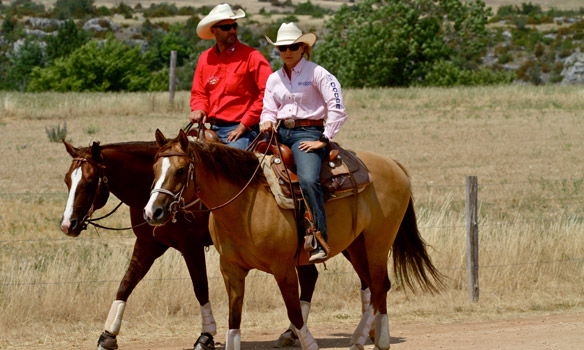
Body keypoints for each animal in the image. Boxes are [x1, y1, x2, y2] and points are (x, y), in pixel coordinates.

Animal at [60, 139, 370, 350]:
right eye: (66, 180)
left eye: (89, 182)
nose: (67, 225)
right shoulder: (147, 245)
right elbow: (125, 284)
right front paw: (107, 335)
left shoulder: (191, 247)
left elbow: (200, 288)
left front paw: (206, 334)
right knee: (309, 277)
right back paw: (292, 332)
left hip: (350, 243)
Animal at [145, 130, 442, 350]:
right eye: (154, 167)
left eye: (181, 170)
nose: (152, 212)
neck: (245, 203)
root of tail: (394, 165)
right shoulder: (231, 270)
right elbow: (234, 321)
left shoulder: (284, 269)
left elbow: (294, 312)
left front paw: (307, 342)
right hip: (358, 247)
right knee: (379, 285)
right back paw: (380, 338)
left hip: (378, 243)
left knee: (379, 287)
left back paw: (360, 339)